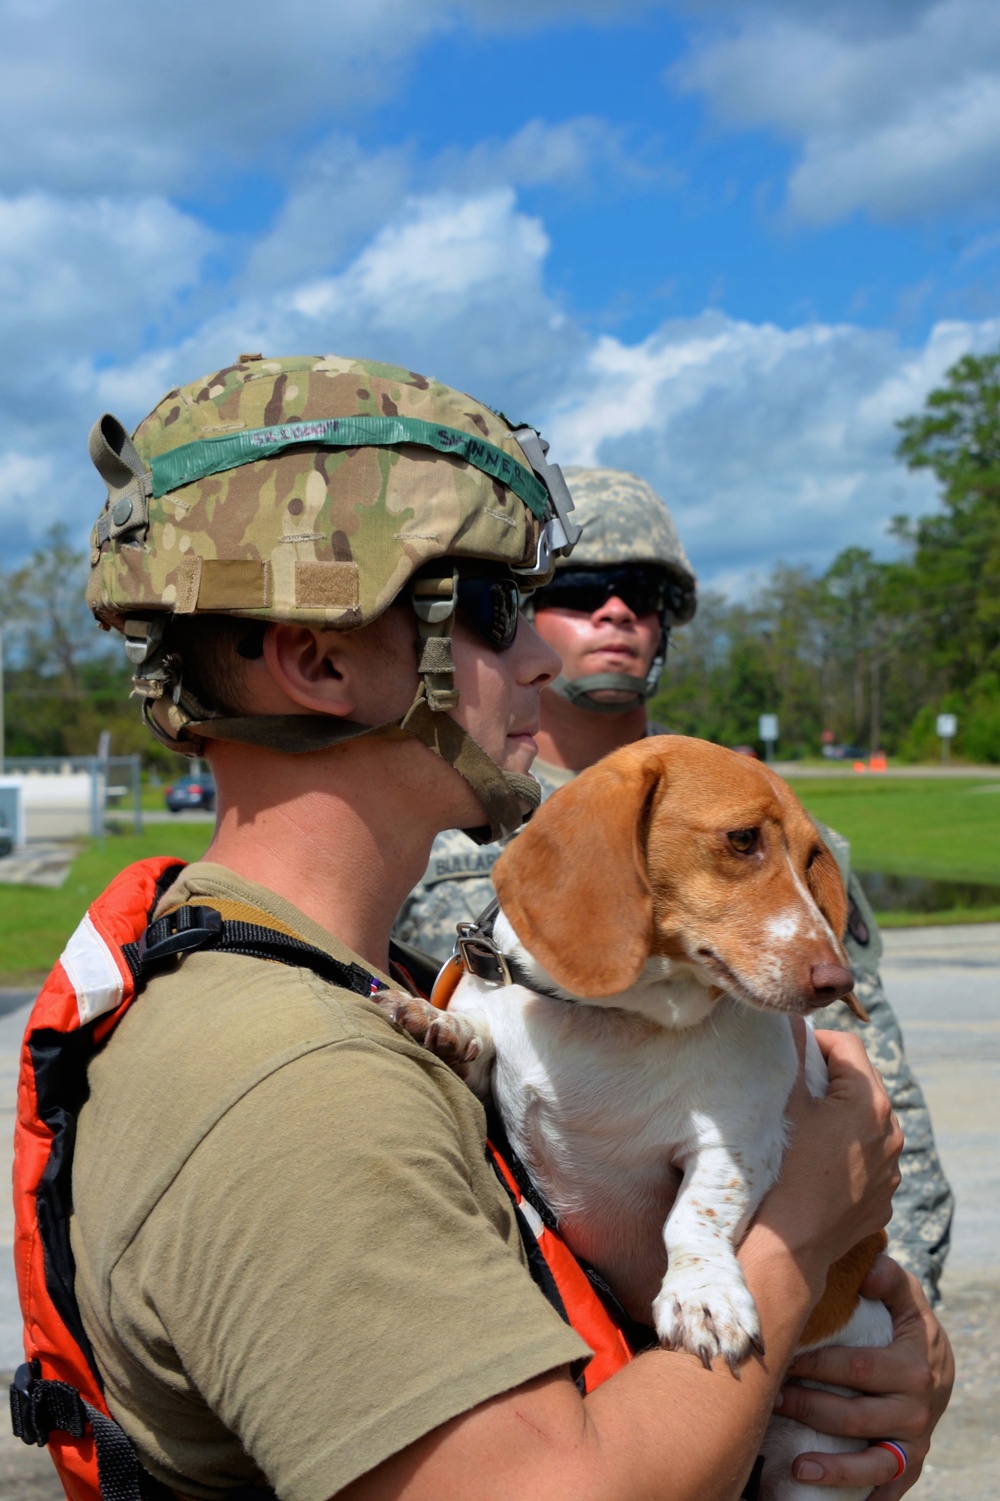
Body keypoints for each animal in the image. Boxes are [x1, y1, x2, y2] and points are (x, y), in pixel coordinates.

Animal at [387, 738, 888, 1501]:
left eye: (811, 857)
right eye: (743, 839)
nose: (839, 983)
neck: (615, 1019)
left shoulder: (737, 1144)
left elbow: (693, 1217)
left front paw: (703, 1296)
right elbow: (475, 1039)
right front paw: (442, 1025)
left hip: (815, 1459)